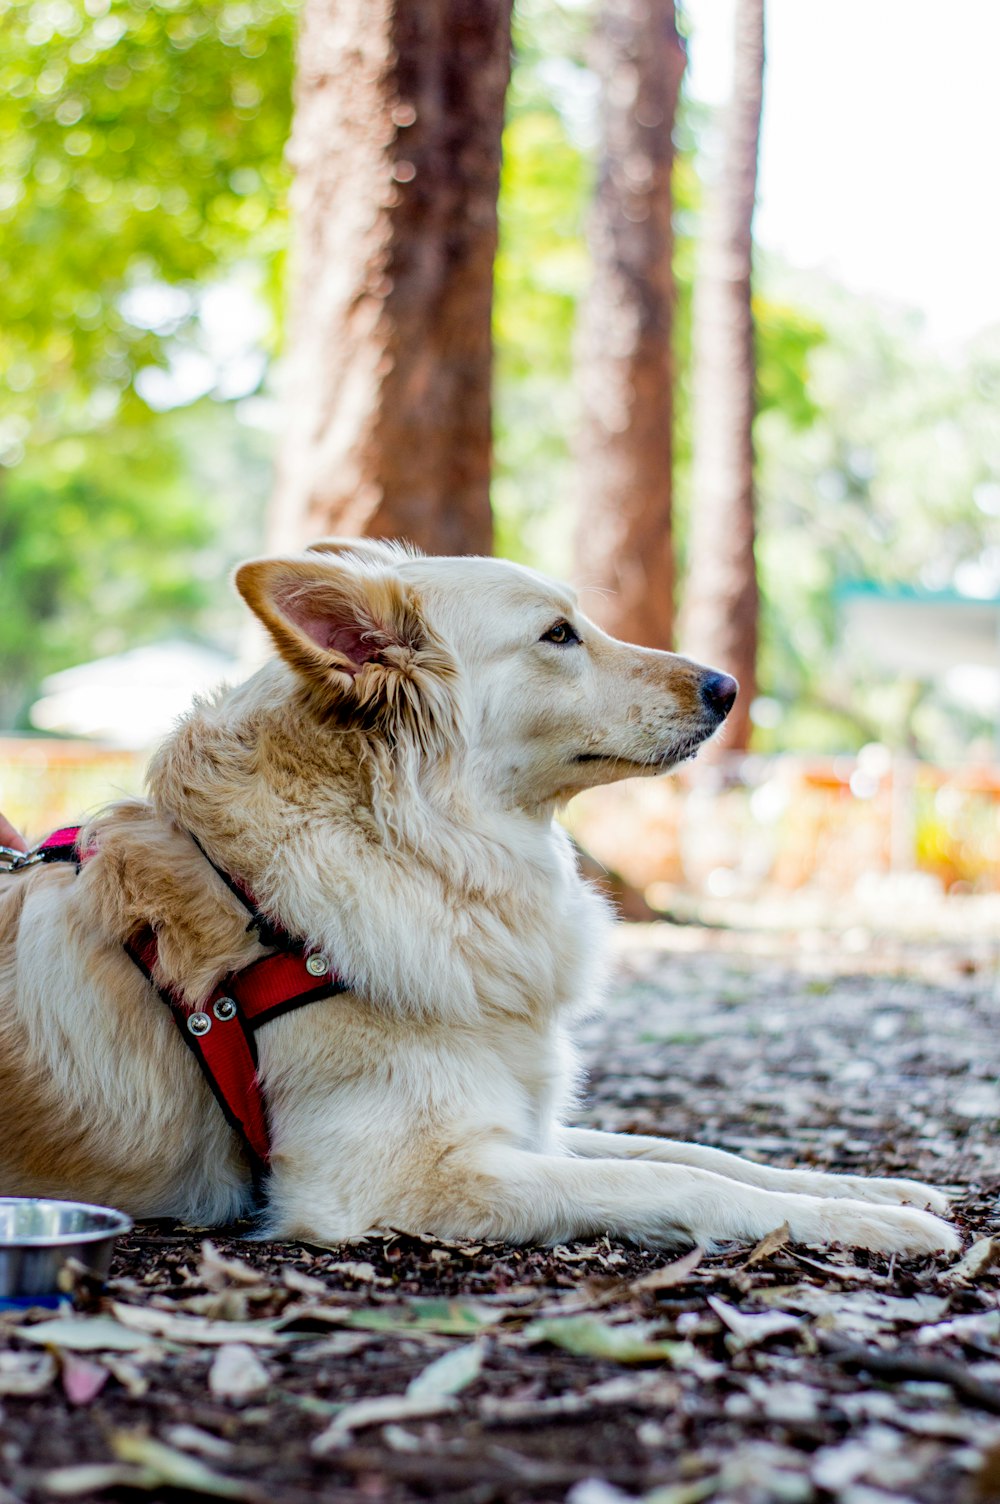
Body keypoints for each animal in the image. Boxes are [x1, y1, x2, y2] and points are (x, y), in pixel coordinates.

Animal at [0, 544, 956, 1257]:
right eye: (559, 635)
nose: (726, 688)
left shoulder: (525, 1126)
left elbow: (700, 1150)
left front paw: (880, 1188)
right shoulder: (402, 1176)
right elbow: (672, 1177)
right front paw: (870, 1223)